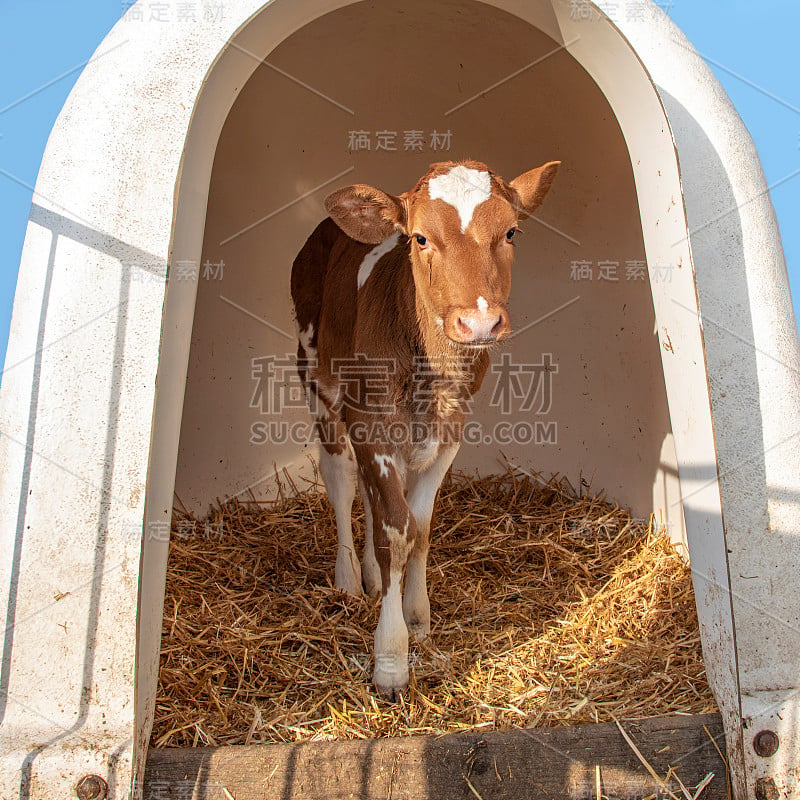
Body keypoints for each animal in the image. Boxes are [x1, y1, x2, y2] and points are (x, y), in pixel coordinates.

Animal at [290, 159, 560, 696]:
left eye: (511, 231)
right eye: (419, 238)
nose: (480, 323)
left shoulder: (450, 431)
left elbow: (420, 524)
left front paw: (416, 615)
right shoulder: (371, 423)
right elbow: (396, 530)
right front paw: (391, 660)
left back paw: (373, 580)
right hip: (316, 377)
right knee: (341, 479)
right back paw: (348, 581)